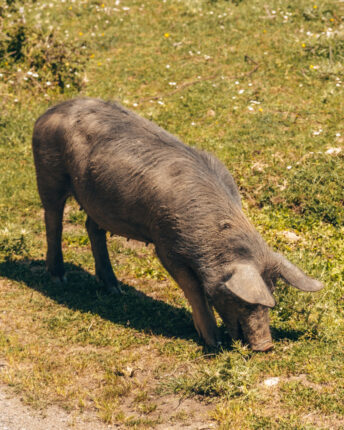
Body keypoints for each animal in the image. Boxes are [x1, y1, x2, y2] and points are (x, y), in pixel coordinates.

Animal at [31, 99, 322, 352]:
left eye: (271, 295)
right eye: (241, 300)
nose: (266, 346)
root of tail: (48, 112)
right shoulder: (166, 243)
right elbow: (193, 288)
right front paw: (213, 342)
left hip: (98, 200)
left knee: (93, 227)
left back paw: (115, 288)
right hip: (48, 172)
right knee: (53, 219)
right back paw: (59, 278)